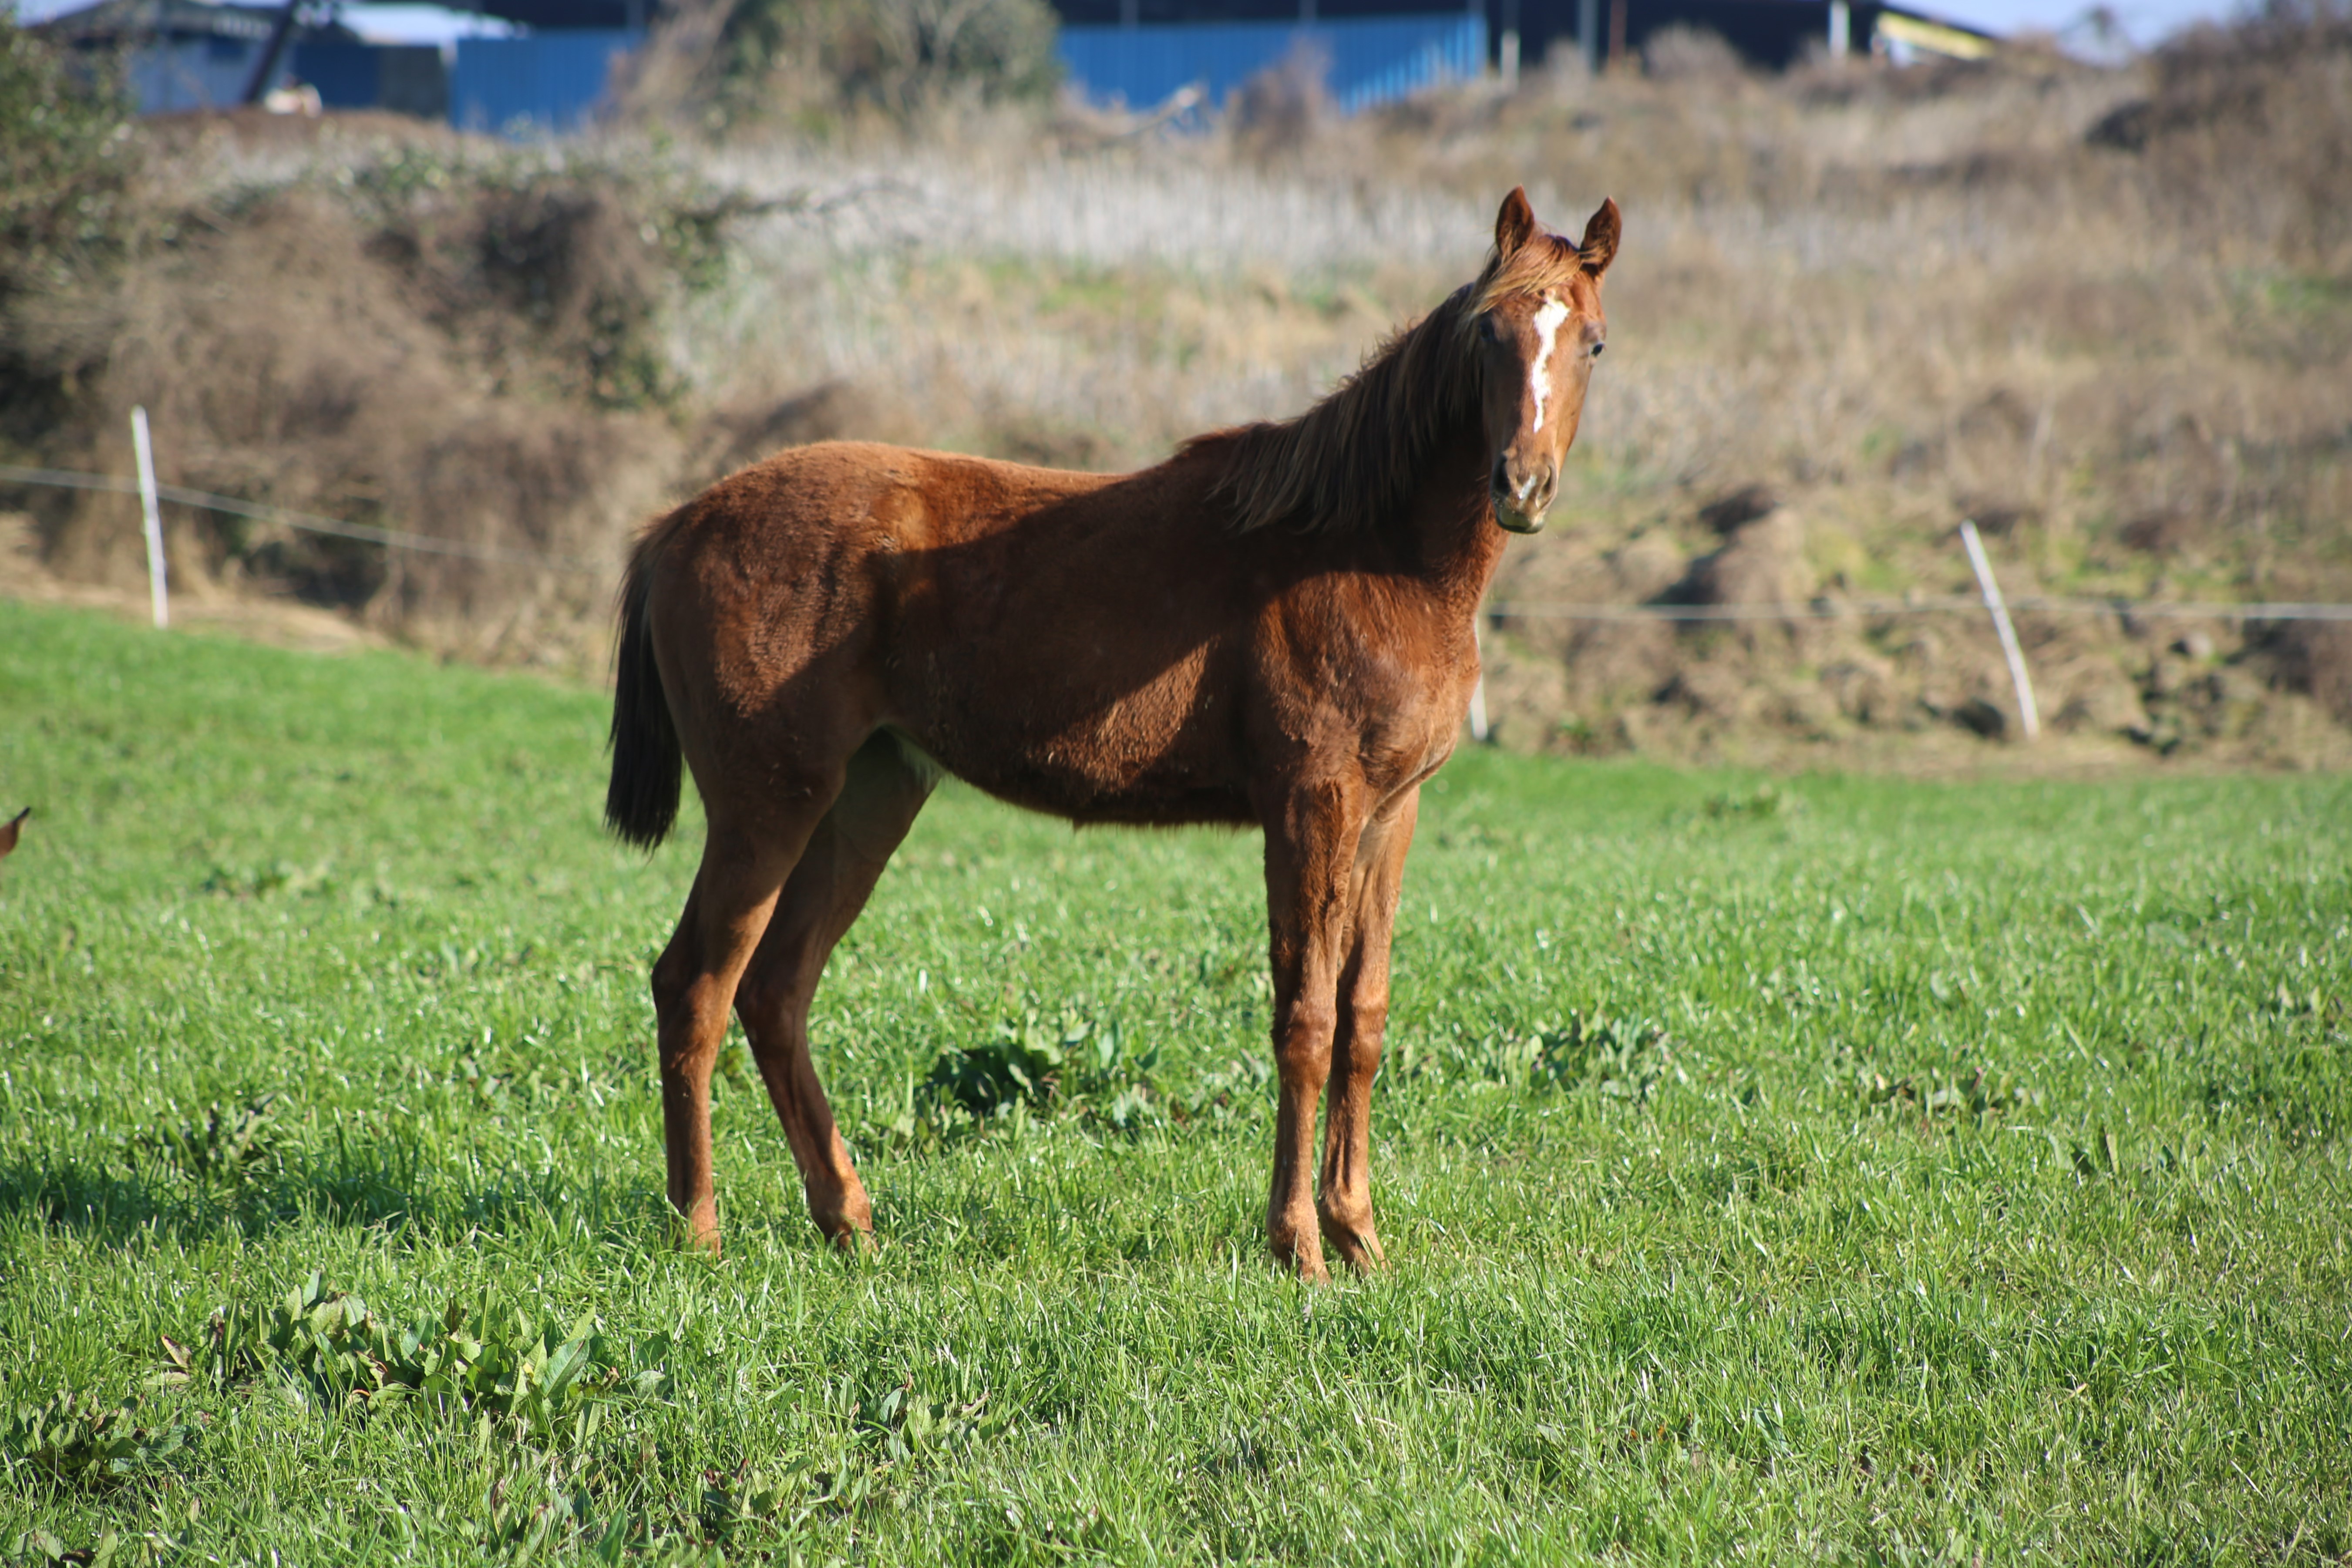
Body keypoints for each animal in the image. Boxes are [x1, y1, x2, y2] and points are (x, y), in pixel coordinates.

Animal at [606, 190, 1618, 1279]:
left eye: (1592, 341)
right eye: (1486, 333)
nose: (1521, 486)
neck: (1369, 552)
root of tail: (676, 524)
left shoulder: (1389, 815)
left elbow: (1362, 1018)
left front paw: (1359, 1236)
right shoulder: (1311, 806)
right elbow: (1303, 1019)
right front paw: (1300, 1246)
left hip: (868, 797)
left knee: (776, 990)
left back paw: (848, 1219)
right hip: (766, 807)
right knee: (696, 987)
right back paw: (698, 1230)